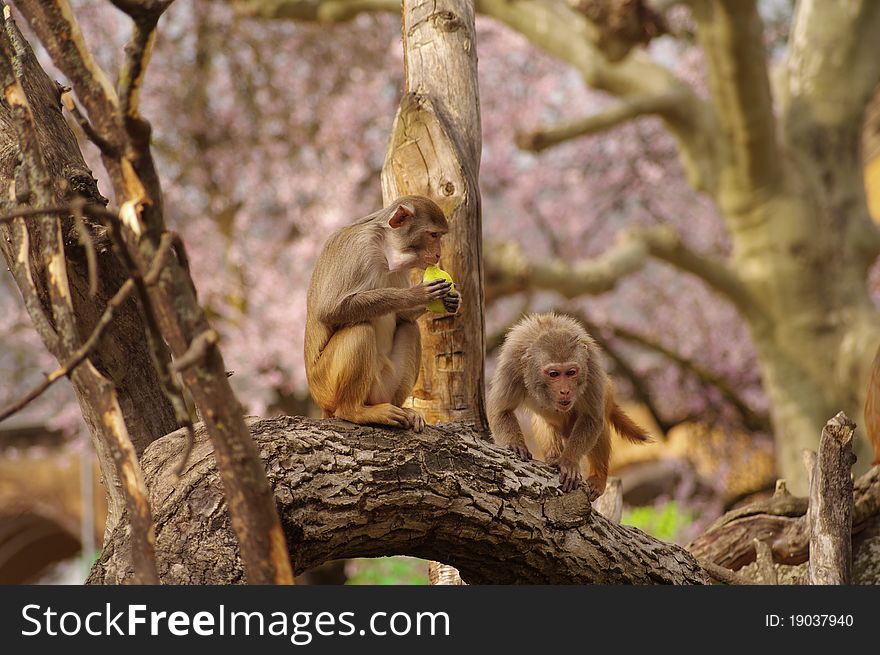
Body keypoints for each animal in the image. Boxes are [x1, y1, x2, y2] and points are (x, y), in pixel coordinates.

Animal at [304, 195, 460, 434]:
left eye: (439, 236)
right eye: (433, 235)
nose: (438, 254)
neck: (386, 247)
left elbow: (403, 318)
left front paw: (452, 300)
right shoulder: (360, 248)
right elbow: (329, 310)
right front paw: (416, 294)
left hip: (382, 389)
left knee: (410, 329)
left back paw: (403, 410)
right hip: (324, 386)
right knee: (359, 331)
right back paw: (354, 411)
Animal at [488, 312, 652, 498]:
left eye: (571, 372)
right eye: (554, 374)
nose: (565, 391)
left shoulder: (590, 367)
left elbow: (591, 418)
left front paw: (569, 461)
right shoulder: (511, 366)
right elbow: (501, 411)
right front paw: (516, 444)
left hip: (604, 390)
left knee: (599, 422)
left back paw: (598, 476)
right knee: (545, 423)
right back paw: (553, 457)